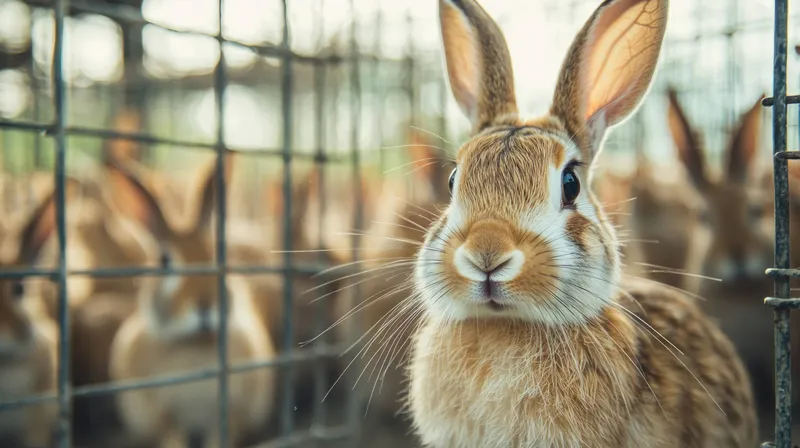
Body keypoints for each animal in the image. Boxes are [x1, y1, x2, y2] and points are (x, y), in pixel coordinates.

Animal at [107, 152, 276, 448]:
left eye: (215, 254)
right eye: (164, 261)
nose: (205, 304)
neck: (194, 342)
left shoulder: (232, 412)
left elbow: (222, 433)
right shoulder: (162, 416)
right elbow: (172, 435)